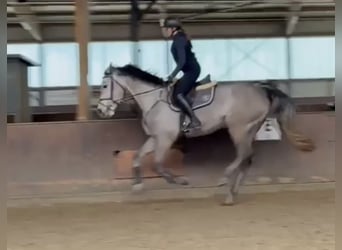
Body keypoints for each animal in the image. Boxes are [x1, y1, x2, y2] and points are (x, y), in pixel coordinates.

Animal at [96, 63, 316, 206]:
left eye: (105, 85)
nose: (101, 110)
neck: (154, 100)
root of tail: (260, 88)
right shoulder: (155, 138)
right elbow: (136, 157)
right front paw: (137, 187)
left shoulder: (166, 138)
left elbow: (158, 164)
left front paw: (180, 181)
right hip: (249, 129)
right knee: (248, 157)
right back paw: (232, 193)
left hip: (238, 128)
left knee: (243, 155)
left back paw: (225, 181)